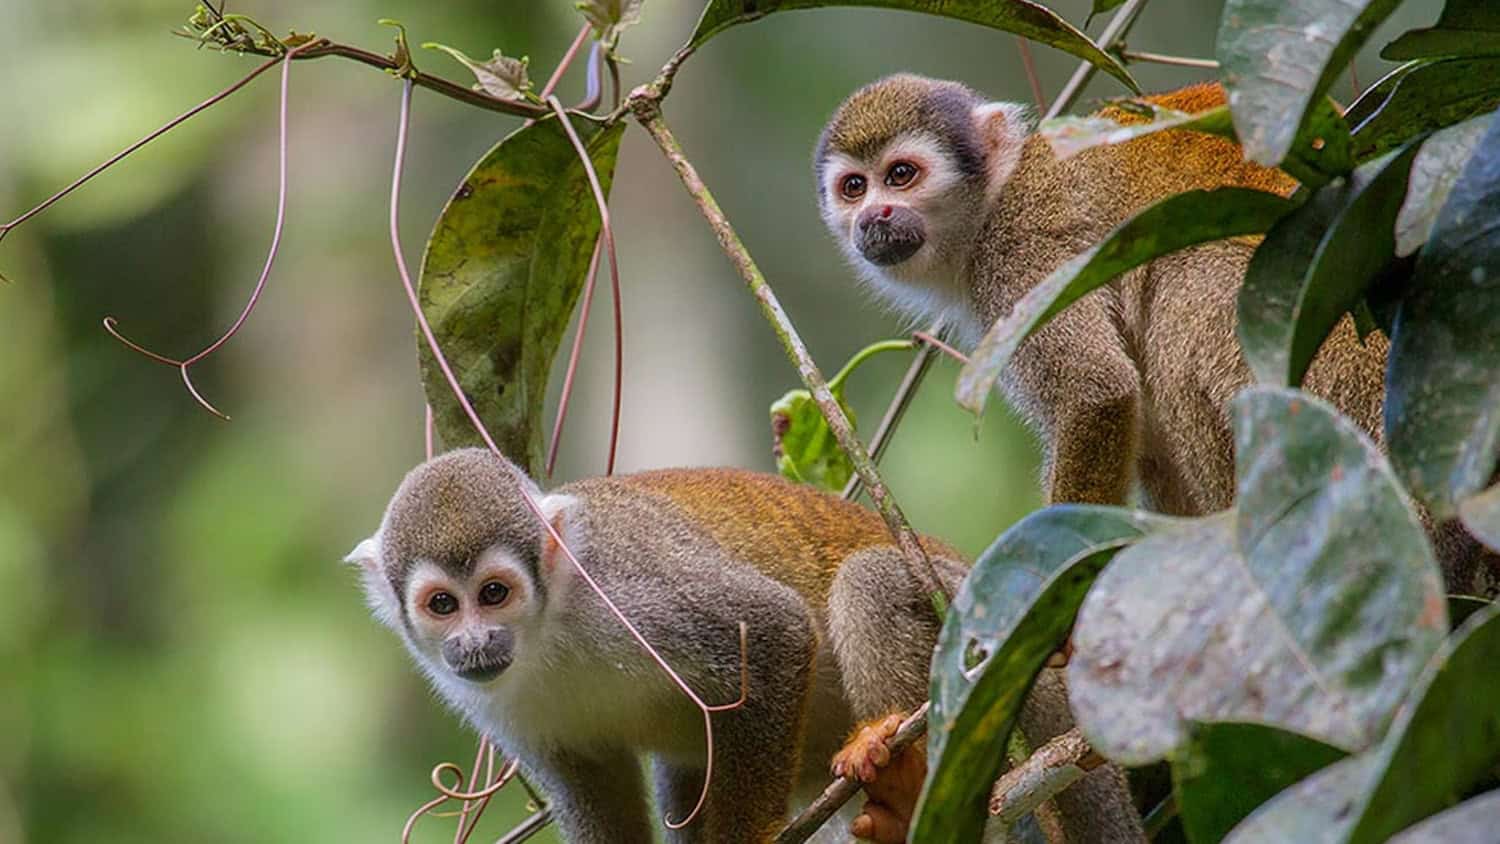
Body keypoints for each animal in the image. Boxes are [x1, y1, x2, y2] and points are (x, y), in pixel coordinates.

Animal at [347, 447, 983, 843]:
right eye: (443, 605)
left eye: (494, 593)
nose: (475, 642)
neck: (547, 630)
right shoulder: (496, 702)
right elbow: (590, 784)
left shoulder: (629, 593)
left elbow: (773, 628)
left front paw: (747, 842)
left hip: (970, 611)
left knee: (869, 580)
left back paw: (905, 788)